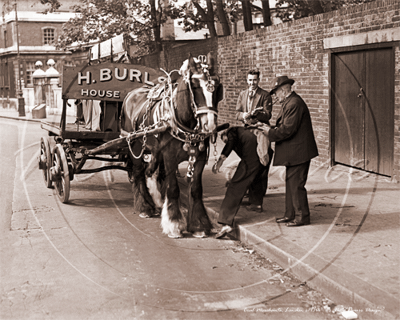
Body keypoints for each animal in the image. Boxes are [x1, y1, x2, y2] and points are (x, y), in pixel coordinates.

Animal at [119, 54, 225, 238]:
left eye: (218, 87)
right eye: (194, 87)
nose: (209, 125)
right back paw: (144, 207)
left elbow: (195, 189)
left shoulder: (199, 158)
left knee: (150, 172)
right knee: (139, 173)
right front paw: (174, 224)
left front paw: (198, 225)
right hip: (136, 146)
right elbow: (173, 188)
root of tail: (131, 94)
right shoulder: (169, 156)